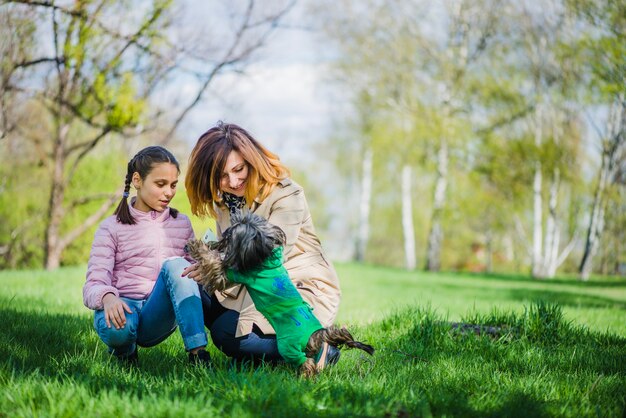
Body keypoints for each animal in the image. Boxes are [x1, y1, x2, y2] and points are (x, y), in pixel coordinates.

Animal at [184, 212, 370, 376]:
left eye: (230, 236)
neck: (266, 256)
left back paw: (304, 377)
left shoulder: (230, 274)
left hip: (288, 347)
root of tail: (317, 334)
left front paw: (196, 246)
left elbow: (214, 265)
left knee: (306, 363)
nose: (221, 238)